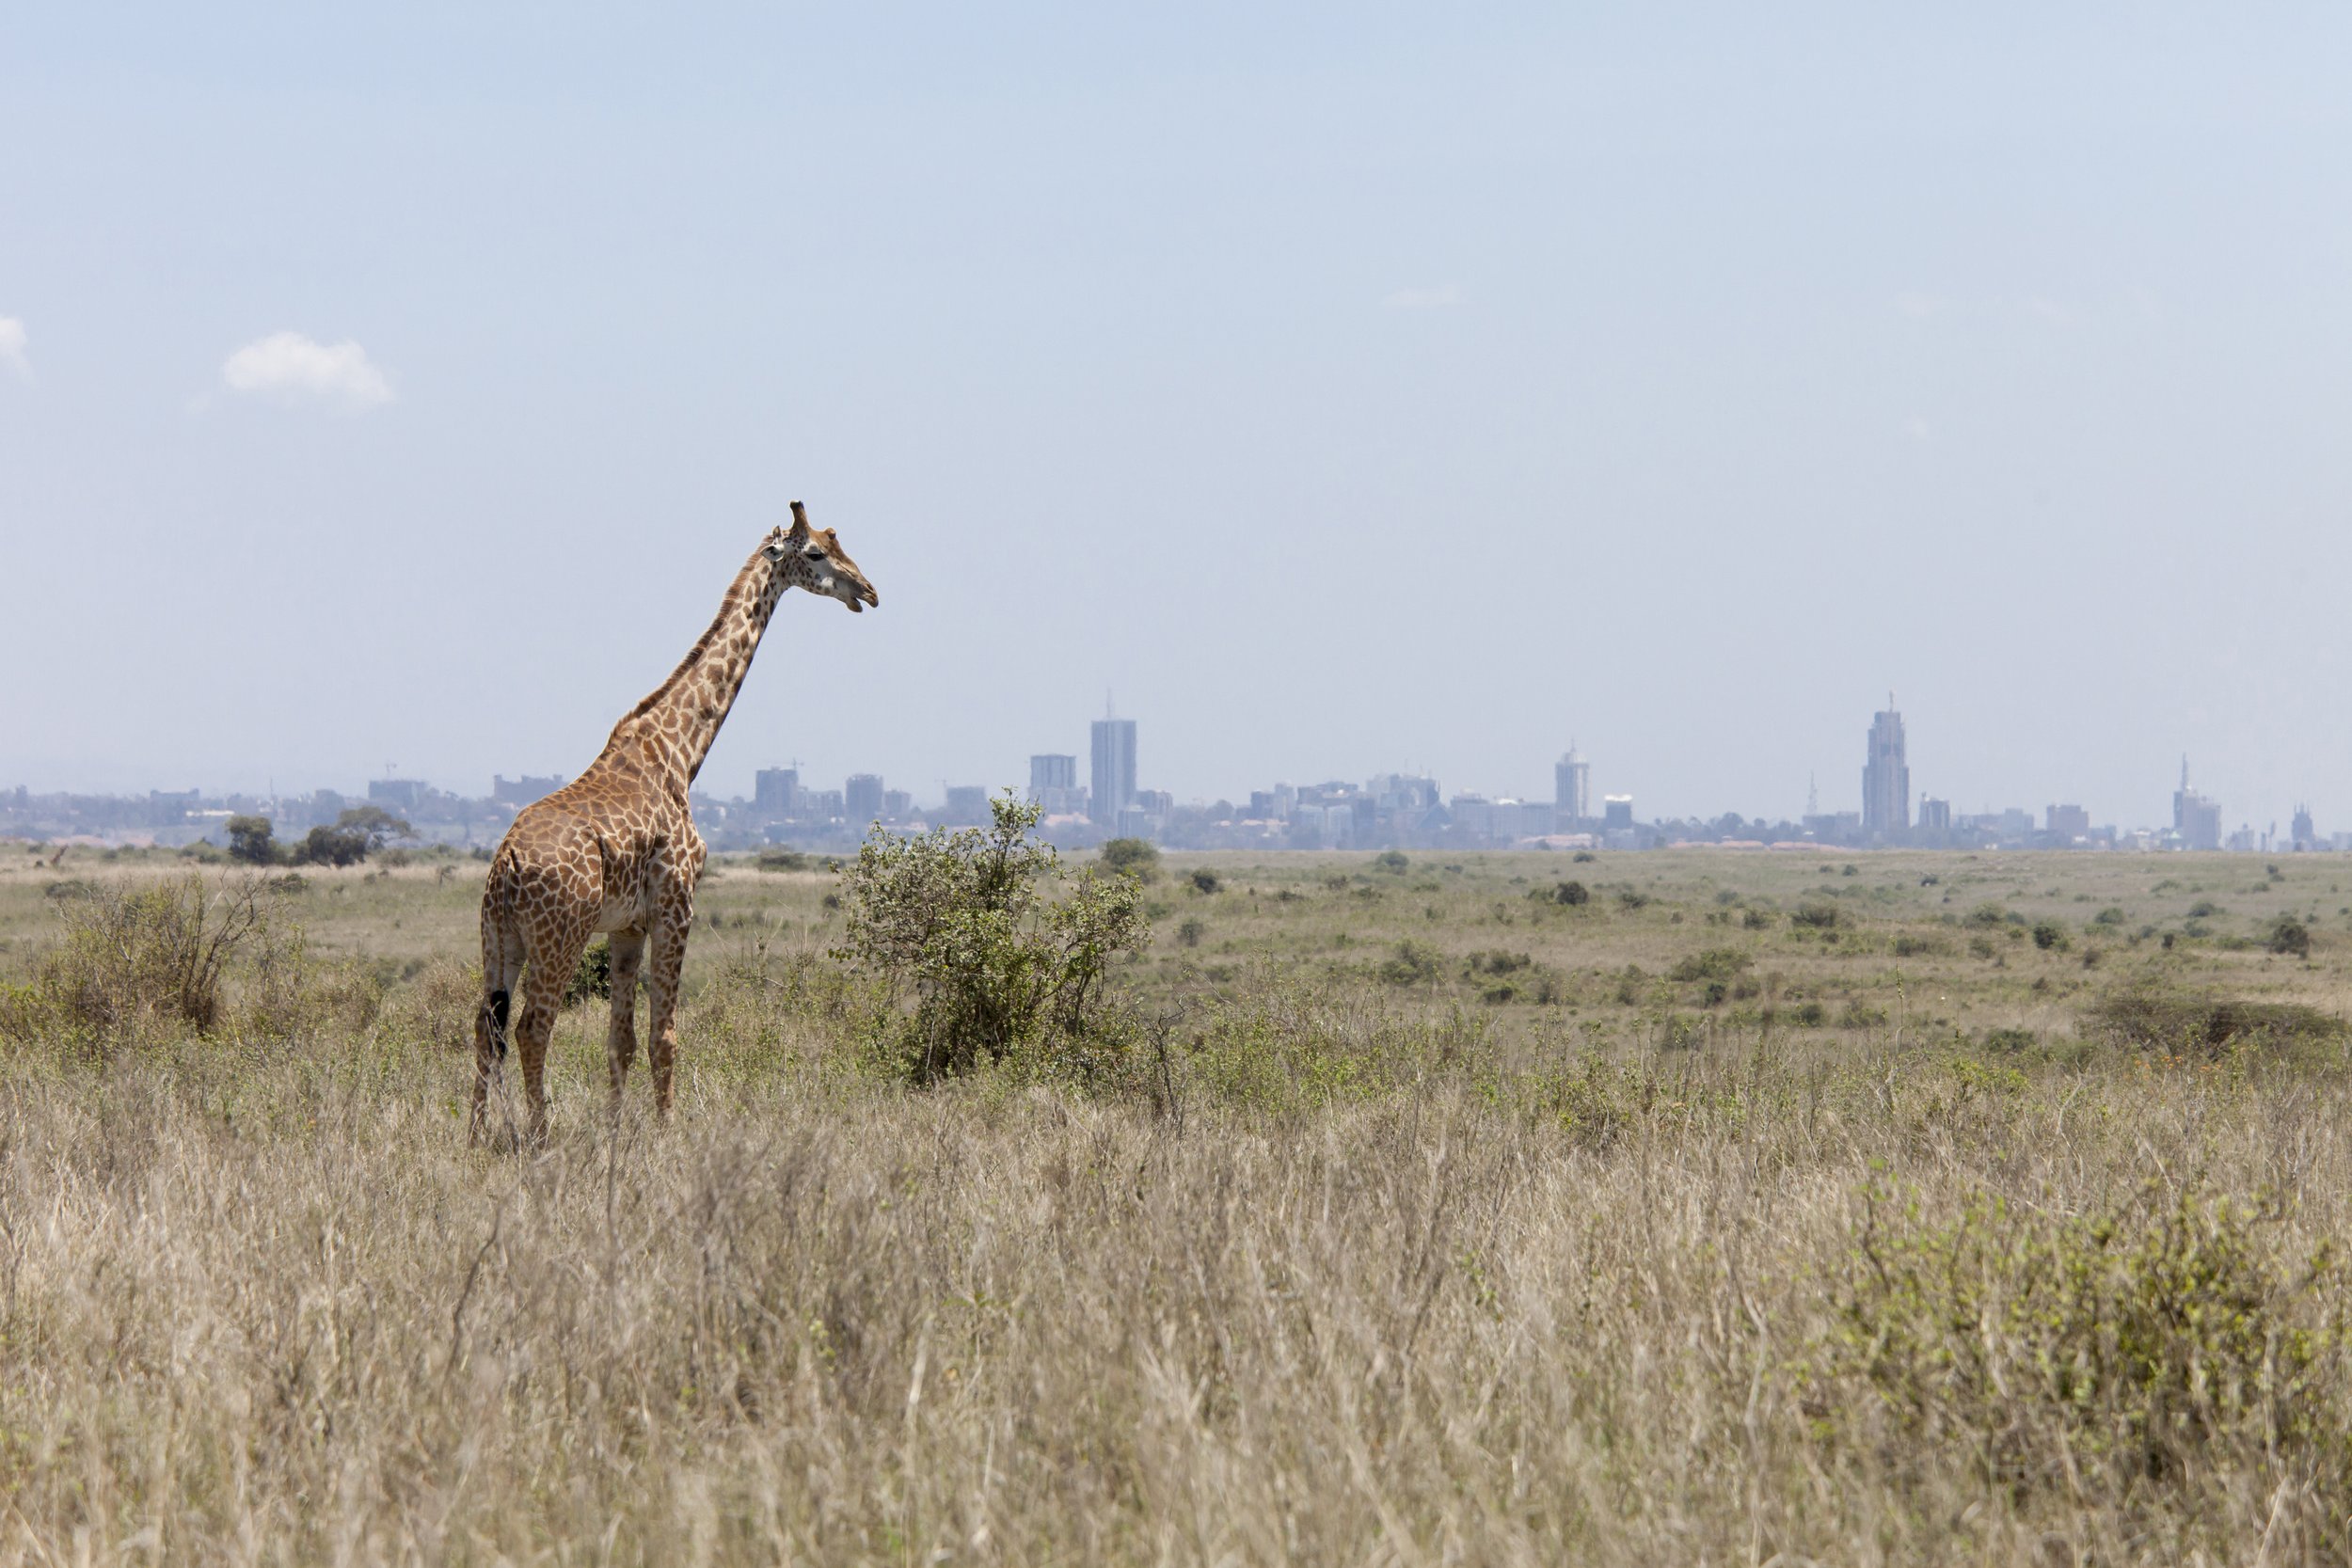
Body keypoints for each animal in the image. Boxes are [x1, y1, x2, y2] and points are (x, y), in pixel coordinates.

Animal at [472, 510, 880, 1147]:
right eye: (815, 552)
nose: (868, 590)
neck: (682, 751)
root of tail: (507, 865)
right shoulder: (676, 904)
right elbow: (664, 1037)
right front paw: (667, 1135)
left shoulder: (627, 926)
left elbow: (620, 1041)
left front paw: (616, 1133)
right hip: (559, 935)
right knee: (531, 1027)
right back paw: (540, 1136)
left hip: (499, 937)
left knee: (484, 1029)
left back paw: (473, 1137)